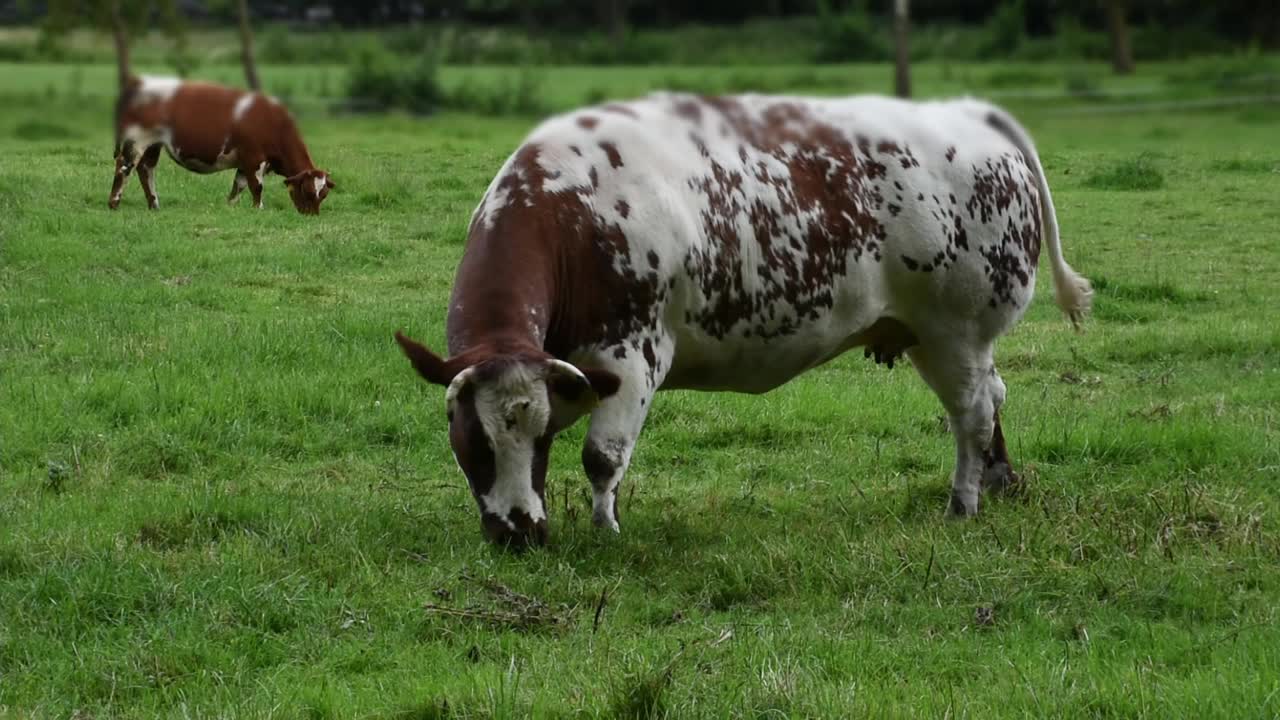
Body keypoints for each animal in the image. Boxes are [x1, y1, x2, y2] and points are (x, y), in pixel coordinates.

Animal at [108, 75, 332, 211]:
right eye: (308, 192)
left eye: (323, 195)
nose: (311, 214)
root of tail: (139, 81)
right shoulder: (254, 158)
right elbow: (256, 186)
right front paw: (258, 208)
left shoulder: (245, 162)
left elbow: (239, 185)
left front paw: (231, 206)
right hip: (137, 140)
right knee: (124, 167)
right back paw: (114, 203)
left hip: (154, 144)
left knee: (146, 169)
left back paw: (154, 205)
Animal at [391, 92, 1090, 545]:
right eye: (472, 441)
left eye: (530, 439)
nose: (519, 534)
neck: (571, 213)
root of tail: (971, 116)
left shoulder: (633, 358)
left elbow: (602, 456)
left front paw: (606, 529)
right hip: (933, 335)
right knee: (991, 397)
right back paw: (999, 481)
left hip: (956, 328)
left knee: (971, 413)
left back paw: (964, 501)